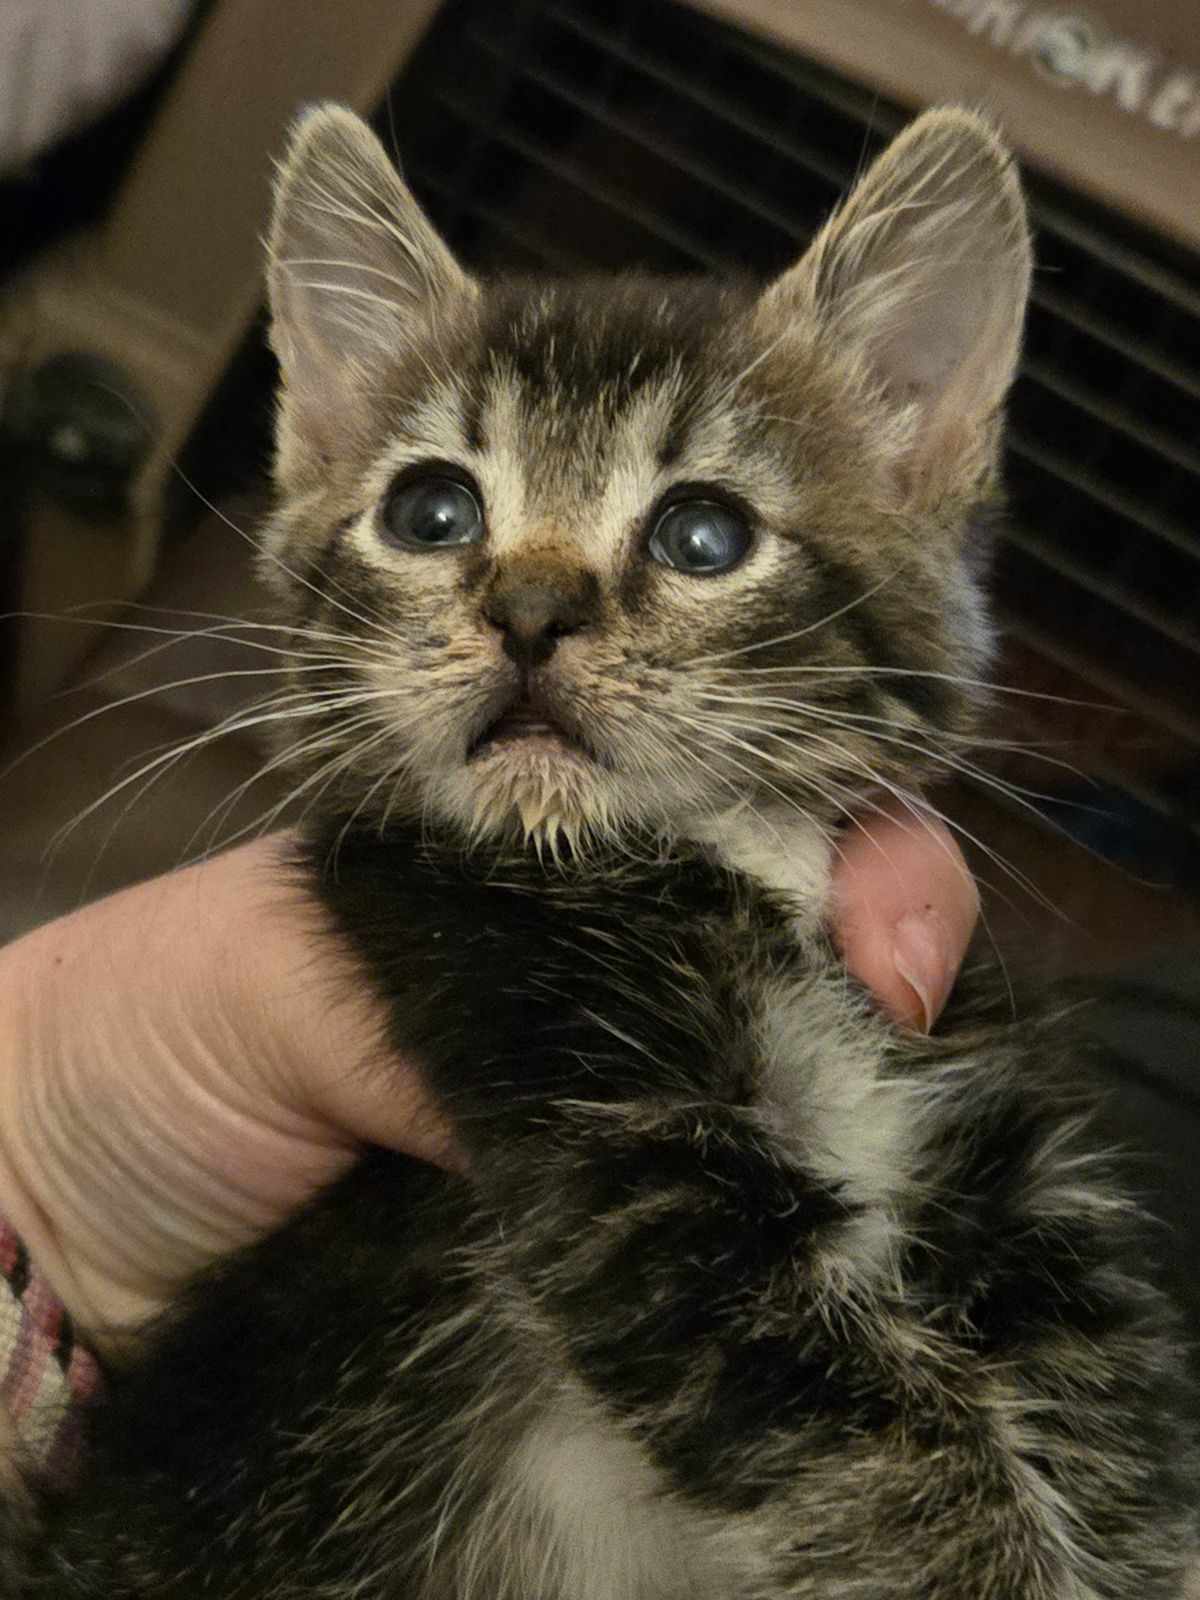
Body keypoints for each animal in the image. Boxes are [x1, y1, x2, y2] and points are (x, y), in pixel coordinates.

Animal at [4, 106, 1196, 1593]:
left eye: (704, 534)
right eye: (433, 512)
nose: (529, 611)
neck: (722, 867)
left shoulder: (990, 1133)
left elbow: (1100, 1405)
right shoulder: (604, 1142)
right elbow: (881, 1439)